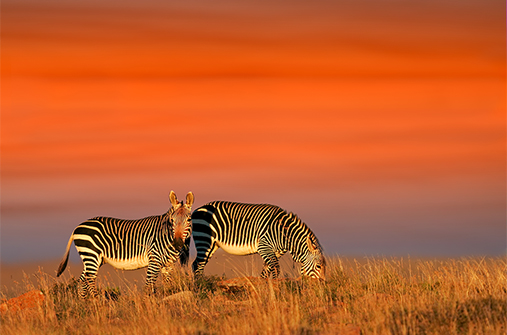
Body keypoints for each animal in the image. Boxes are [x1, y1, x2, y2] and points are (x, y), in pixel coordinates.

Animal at [56, 192, 194, 300]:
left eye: (189, 220)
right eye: (172, 220)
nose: (177, 243)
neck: (166, 234)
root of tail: (77, 227)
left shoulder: (168, 265)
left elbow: (167, 284)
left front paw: (166, 301)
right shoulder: (154, 260)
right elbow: (149, 285)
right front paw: (148, 305)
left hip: (92, 258)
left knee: (82, 280)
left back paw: (84, 304)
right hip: (91, 255)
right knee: (89, 279)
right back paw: (98, 302)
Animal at [189, 202, 328, 280]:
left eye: (325, 267)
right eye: (318, 266)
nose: (323, 284)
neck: (283, 233)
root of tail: (198, 209)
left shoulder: (274, 252)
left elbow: (266, 271)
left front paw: (264, 287)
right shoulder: (264, 247)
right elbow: (276, 269)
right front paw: (275, 288)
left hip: (212, 245)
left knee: (198, 264)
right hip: (204, 239)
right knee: (197, 265)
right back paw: (201, 287)